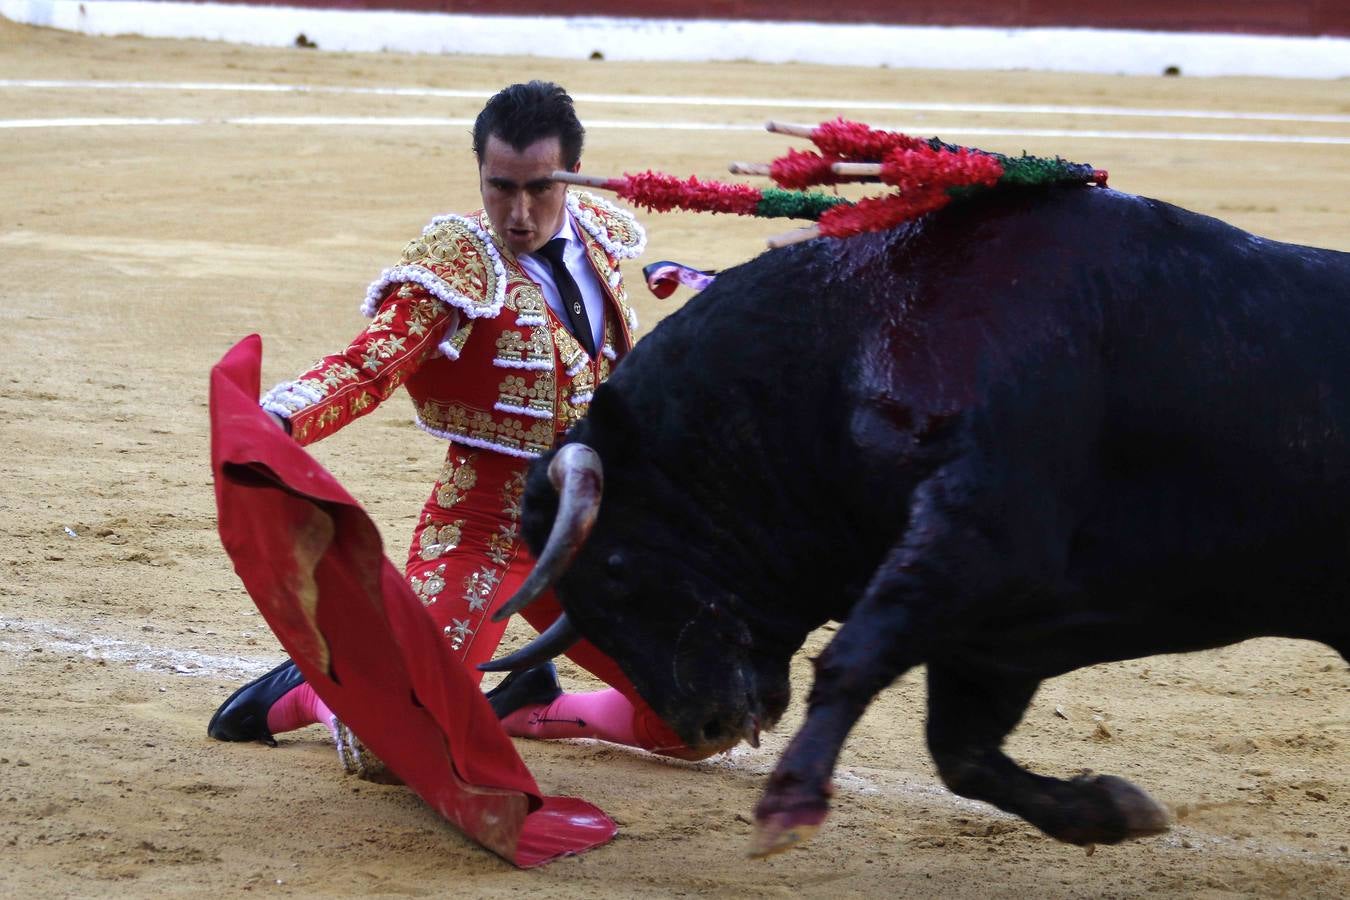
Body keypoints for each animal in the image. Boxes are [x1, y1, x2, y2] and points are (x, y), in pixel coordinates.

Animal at [488, 184, 1350, 852]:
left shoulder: (981, 539)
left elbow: (853, 658)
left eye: (617, 570)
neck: (847, 345)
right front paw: (1112, 811)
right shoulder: (991, 634)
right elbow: (960, 755)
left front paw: (788, 807)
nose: (701, 726)